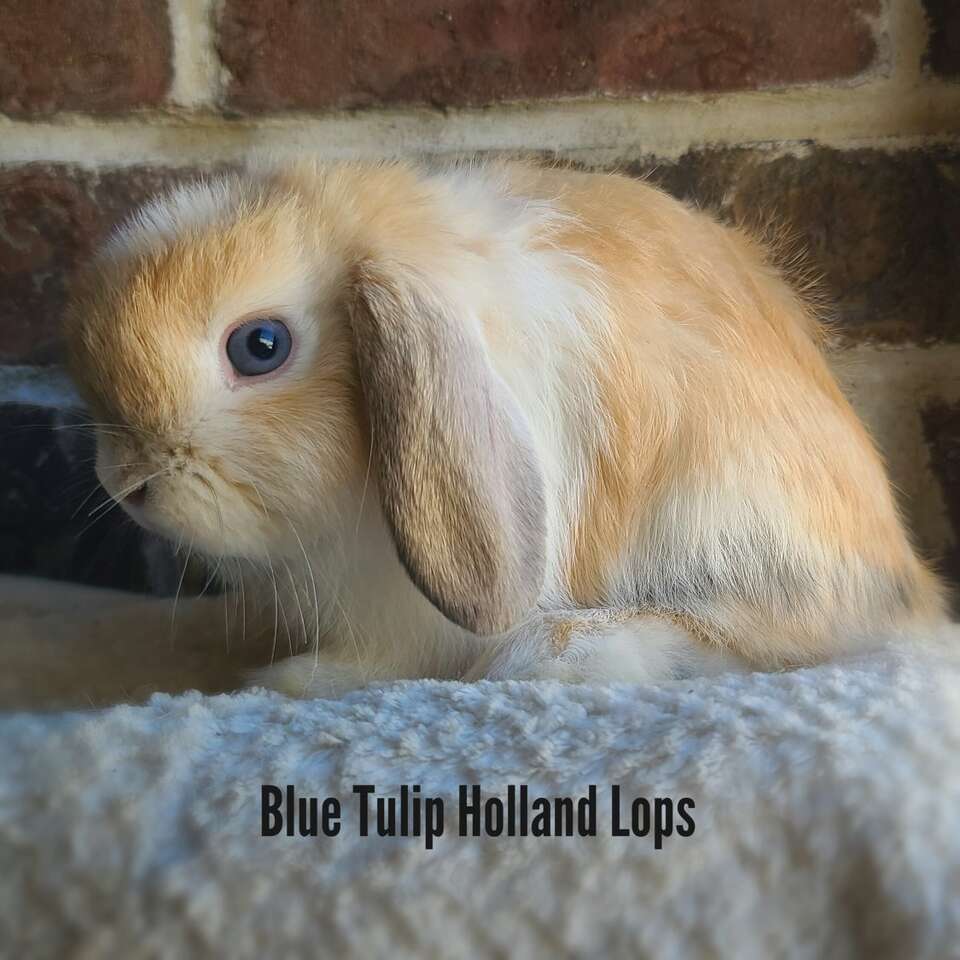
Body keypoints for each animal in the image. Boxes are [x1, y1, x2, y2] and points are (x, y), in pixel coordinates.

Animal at [63, 159, 948, 696]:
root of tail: (902, 574)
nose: (124, 481)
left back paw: (559, 654)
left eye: (261, 346)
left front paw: (288, 681)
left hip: (725, 522)